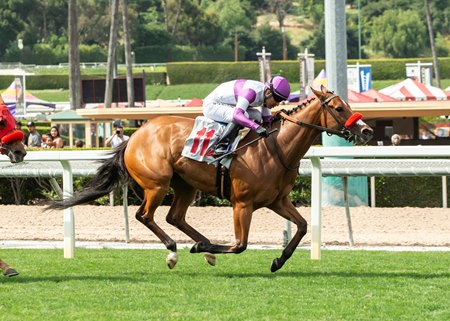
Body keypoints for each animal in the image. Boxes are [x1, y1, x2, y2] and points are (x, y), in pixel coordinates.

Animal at [48, 86, 372, 272]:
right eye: (339, 107)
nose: (367, 130)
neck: (276, 148)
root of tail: (134, 135)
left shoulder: (277, 200)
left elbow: (303, 226)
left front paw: (279, 260)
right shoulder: (242, 204)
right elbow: (240, 244)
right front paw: (205, 249)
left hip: (185, 185)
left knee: (175, 217)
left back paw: (201, 246)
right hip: (157, 183)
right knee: (145, 216)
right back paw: (175, 251)